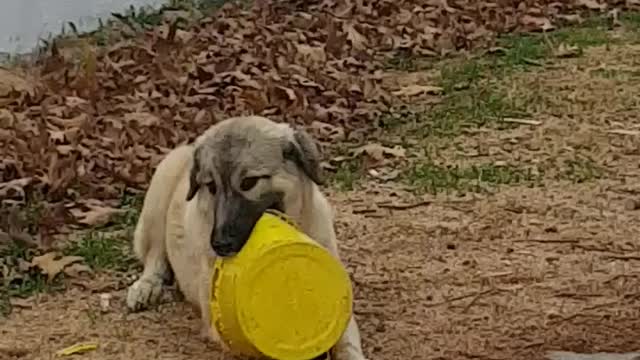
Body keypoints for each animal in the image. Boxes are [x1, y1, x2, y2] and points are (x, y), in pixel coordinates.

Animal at [126, 116, 364, 360]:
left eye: (249, 182)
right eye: (211, 186)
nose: (220, 244)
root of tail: (186, 149)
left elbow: (345, 341)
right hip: (159, 197)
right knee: (155, 256)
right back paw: (146, 287)